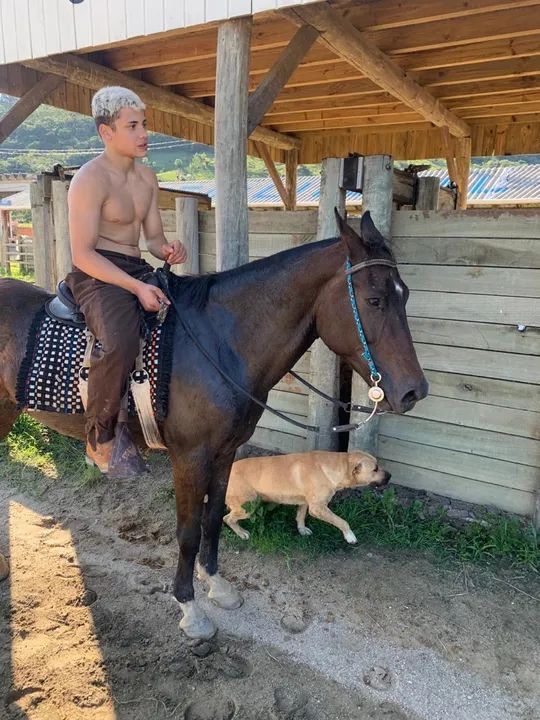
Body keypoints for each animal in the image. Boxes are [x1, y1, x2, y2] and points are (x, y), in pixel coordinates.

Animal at [0, 211, 428, 639]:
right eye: (374, 300)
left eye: (405, 295)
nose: (414, 391)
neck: (222, 344)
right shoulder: (190, 457)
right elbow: (189, 531)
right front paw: (189, 607)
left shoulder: (225, 453)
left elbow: (213, 519)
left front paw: (216, 585)